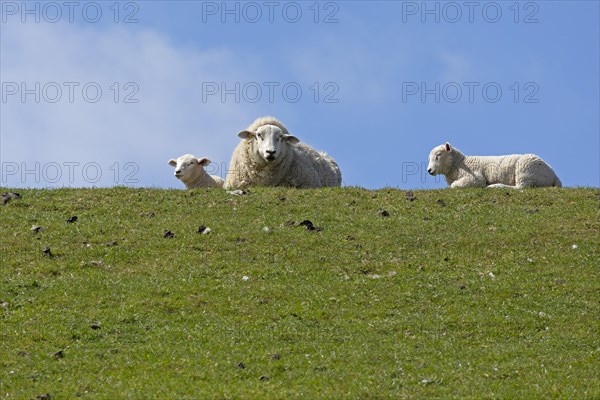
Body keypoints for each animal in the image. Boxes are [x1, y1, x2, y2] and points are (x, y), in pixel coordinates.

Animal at [426, 143, 564, 188]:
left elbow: (454, 185)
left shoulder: (476, 178)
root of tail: (554, 175)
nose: (429, 170)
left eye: (438, 155)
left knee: (521, 187)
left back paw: (495, 186)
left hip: (525, 170)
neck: (460, 163)